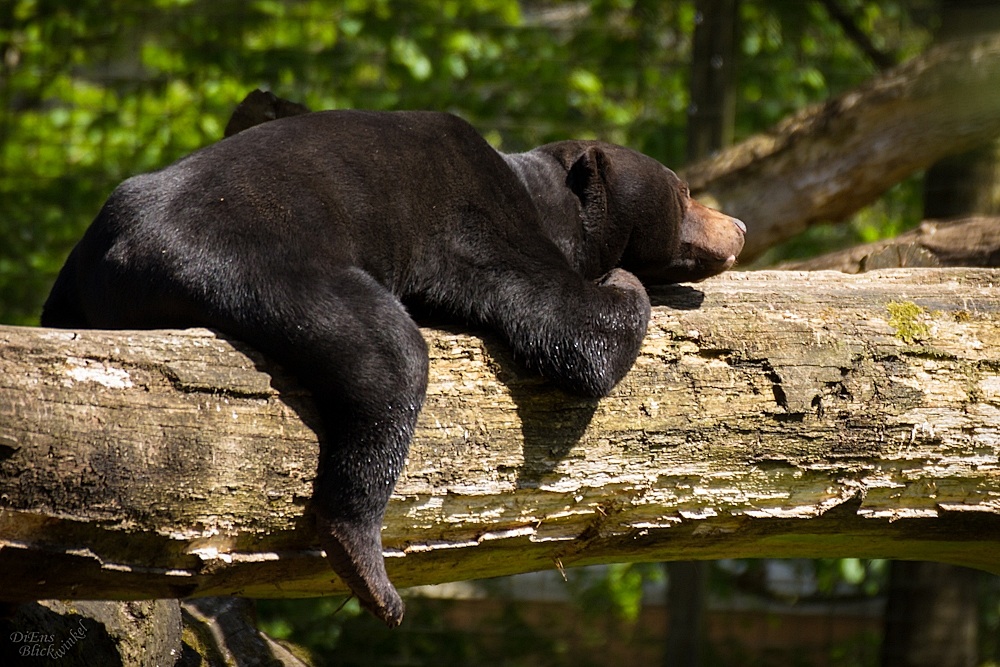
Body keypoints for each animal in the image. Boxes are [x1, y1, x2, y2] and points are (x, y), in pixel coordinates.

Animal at [41, 104, 744, 628]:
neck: (548, 198)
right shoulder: (481, 225)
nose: (736, 225)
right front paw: (624, 280)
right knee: (388, 360)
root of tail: (117, 254)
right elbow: (568, 327)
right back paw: (368, 567)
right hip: (261, 259)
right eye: (685, 190)